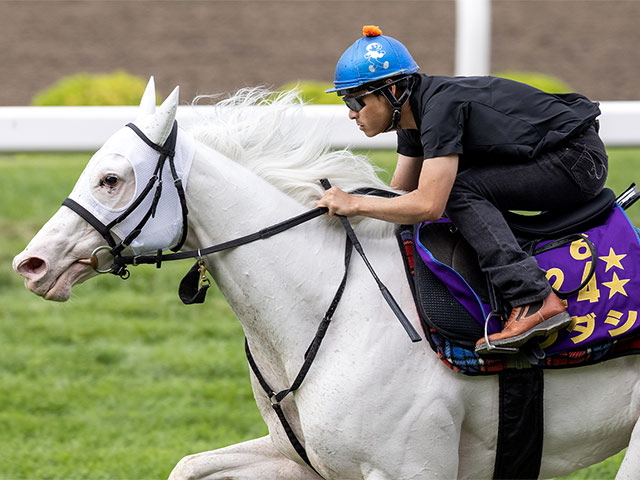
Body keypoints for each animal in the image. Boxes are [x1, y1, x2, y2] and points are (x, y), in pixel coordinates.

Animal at [11, 79, 640, 480]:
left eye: (111, 179)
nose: (31, 264)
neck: (327, 311)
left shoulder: (414, 465)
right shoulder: (303, 458)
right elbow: (187, 465)